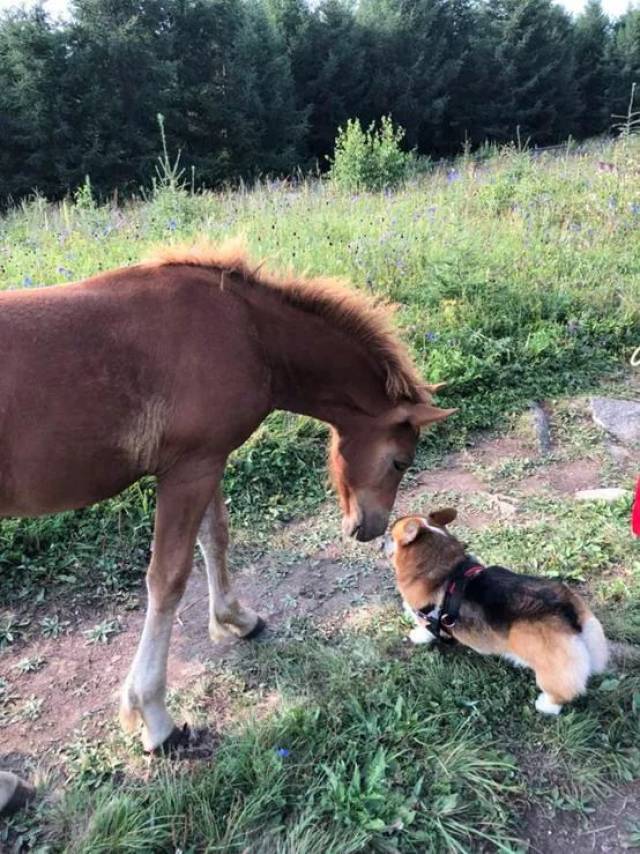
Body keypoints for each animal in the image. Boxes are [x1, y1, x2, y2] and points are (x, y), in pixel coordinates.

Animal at [0, 241, 452, 756]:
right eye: (400, 461)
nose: (369, 529)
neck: (246, 331)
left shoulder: (207, 459)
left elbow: (215, 537)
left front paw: (237, 618)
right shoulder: (190, 470)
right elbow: (169, 579)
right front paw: (154, 718)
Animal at [384, 508, 608, 716]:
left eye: (391, 534)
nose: (382, 539)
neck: (446, 568)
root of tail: (567, 611)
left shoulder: (424, 615)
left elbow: (424, 629)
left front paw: (417, 636)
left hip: (549, 670)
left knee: (562, 692)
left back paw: (545, 705)